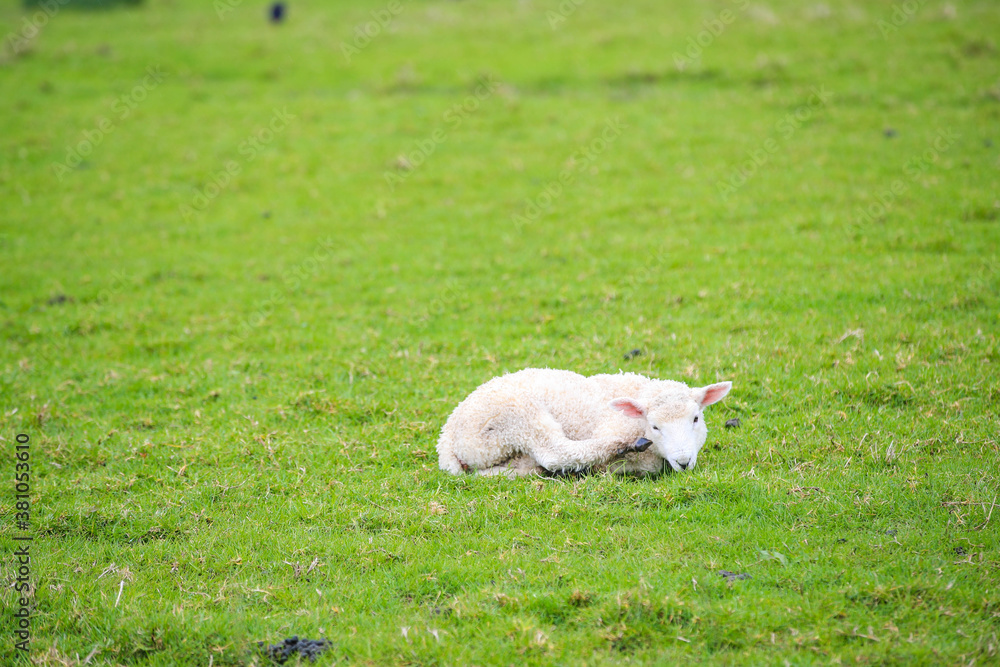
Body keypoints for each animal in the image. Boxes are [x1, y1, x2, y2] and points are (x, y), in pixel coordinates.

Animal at [437, 368, 732, 477]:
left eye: (696, 418)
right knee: (554, 453)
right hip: (517, 413)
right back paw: (620, 447)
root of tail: (447, 437)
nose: (683, 461)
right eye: (656, 426)